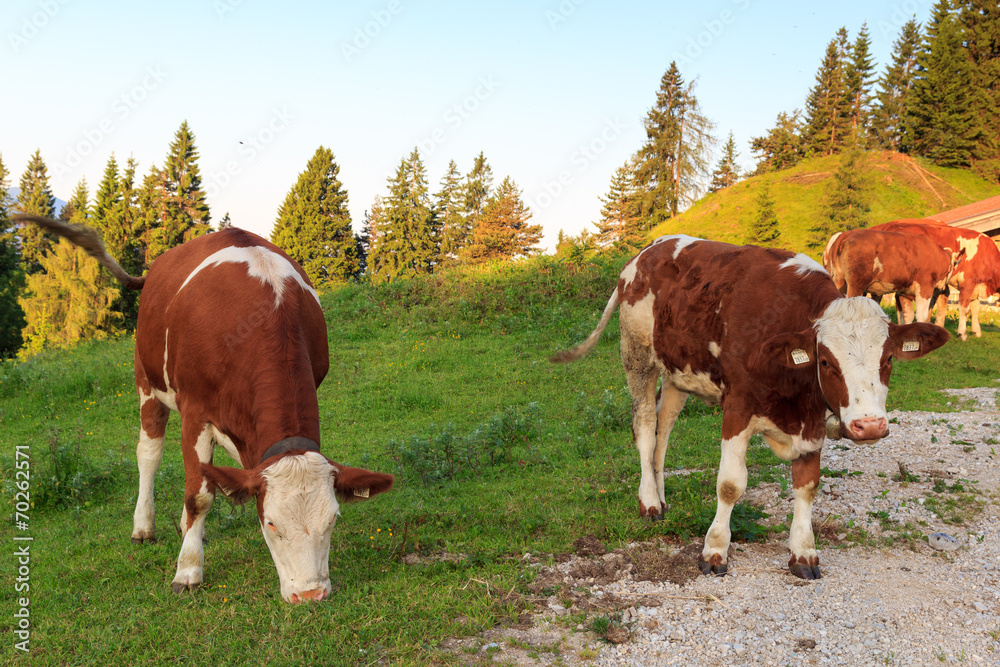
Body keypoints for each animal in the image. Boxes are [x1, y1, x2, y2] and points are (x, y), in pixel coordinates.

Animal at [552, 235, 948, 580]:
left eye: (889, 359)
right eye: (825, 362)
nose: (870, 426)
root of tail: (648, 250)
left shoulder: (812, 421)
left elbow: (807, 485)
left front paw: (803, 552)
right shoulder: (737, 408)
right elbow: (730, 485)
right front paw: (714, 550)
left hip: (678, 372)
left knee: (664, 428)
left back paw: (661, 497)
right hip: (637, 356)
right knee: (646, 426)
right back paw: (649, 501)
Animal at [820, 228, 960, 324]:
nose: (946, 290)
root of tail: (846, 234)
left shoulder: (904, 292)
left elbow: (908, 316)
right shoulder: (924, 288)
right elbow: (922, 316)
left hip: (838, 282)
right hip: (856, 285)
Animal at [872, 219, 1000, 342]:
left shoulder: (976, 287)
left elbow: (975, 308)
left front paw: (976, 331)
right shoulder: (968, 283)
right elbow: (964, 309)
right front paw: (962, 334)